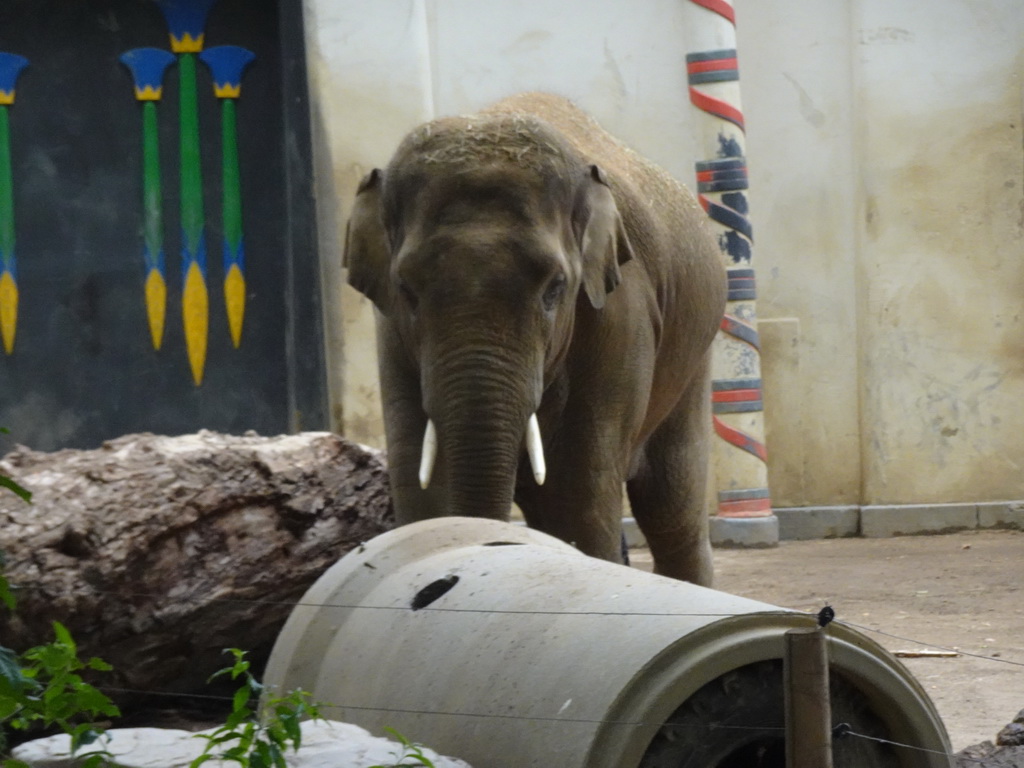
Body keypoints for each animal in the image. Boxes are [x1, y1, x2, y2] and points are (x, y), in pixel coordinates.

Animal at [344, 93, 729, 585]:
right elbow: (421, 481)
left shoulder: (621, 315)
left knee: (671, 506)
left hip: (693, 359)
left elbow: (580, 491)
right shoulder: (390, 331)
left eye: (555, 289)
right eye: (406, 290)